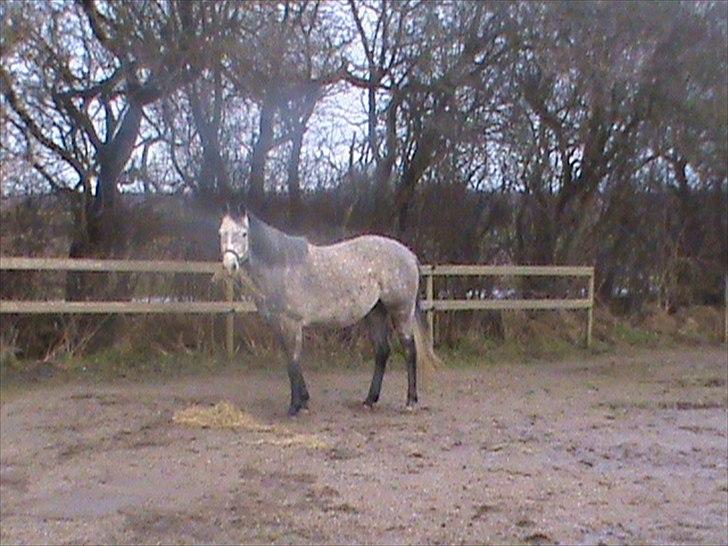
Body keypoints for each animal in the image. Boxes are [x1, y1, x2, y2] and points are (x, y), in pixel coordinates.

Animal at [219, 210, 440, 414]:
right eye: (222, 233)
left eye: (244, 234)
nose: (230, 265)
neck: (281, 267)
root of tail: (409, 254)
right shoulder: (278, 325)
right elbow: (291, 360)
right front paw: (304, 402)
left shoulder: (291, 324)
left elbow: (293, 361)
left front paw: (295, 406)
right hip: (376, 312)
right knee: (382, 351)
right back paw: (369, 400)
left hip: (401, 311)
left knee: (409, 350)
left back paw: (410, 402)